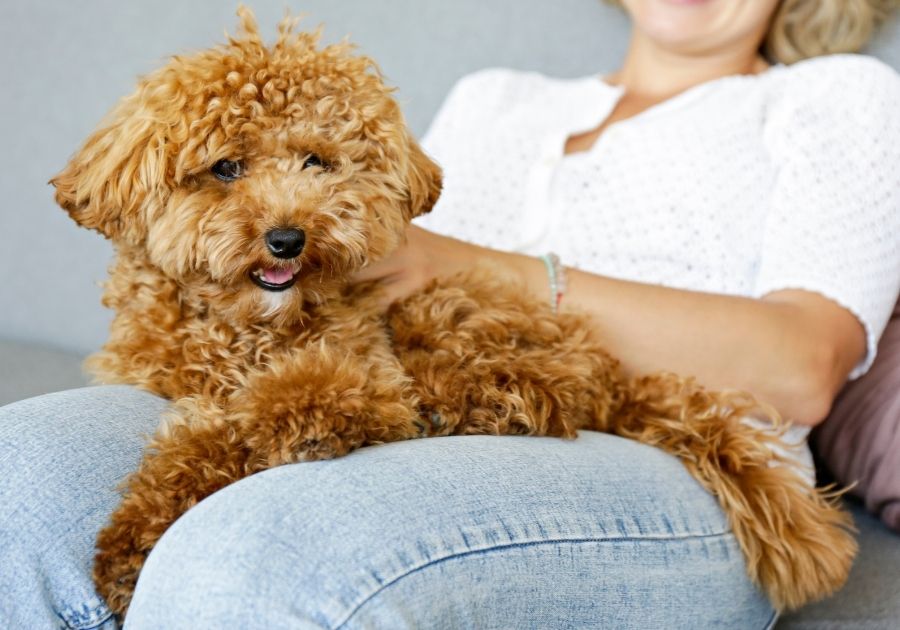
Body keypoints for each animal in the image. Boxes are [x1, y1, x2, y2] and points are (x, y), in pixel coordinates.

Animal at [52, 7, 856, 624]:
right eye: (225, 167)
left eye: (318, 161)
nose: (287, 238)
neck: (246, 327)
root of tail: (619, 376)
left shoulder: (360, 377)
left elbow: (248, 420)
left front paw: (140, 534)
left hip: (446, 307)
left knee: (551, 387)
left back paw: (475, 408)